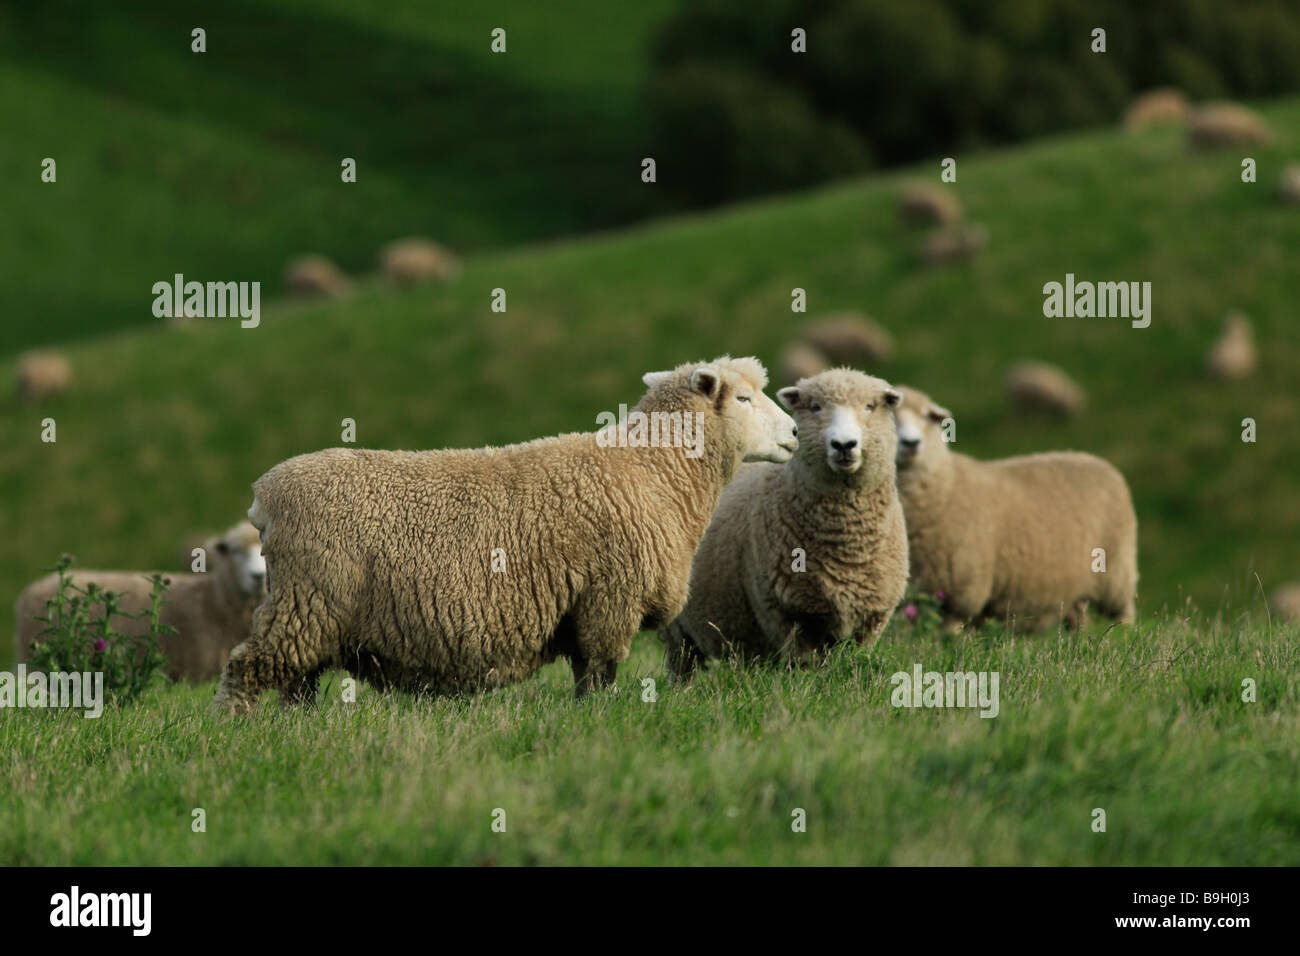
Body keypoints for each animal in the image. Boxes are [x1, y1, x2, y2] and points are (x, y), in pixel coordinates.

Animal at [210, 357, 798, 714]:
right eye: (744, 400)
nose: (794, 433)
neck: (652, 471)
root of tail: (265, 495)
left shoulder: (585, 605)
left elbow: (586, 674)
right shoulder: (608, 599)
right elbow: (599, 675)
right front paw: (601, 724)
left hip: (307, 609)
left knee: (296, 680)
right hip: (309, 600)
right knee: (248, 667)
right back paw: (237, 729)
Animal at [660, 369, 908, 678]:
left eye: (870, 406)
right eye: (815, 407)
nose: (843, 445)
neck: (846, 546)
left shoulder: (872, 619)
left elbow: (852, 663)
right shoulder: (785, 612)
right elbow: (803, 667)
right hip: (678, 630)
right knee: (683, 664)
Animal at [893, 385, 1137, 630]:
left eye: (926, 416)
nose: (912, 443)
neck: (947, 482)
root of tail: (1097, 460)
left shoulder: (961, 589)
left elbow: (949, 628)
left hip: (1116, 571)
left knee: (1124, 610)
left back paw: (1124, 632)